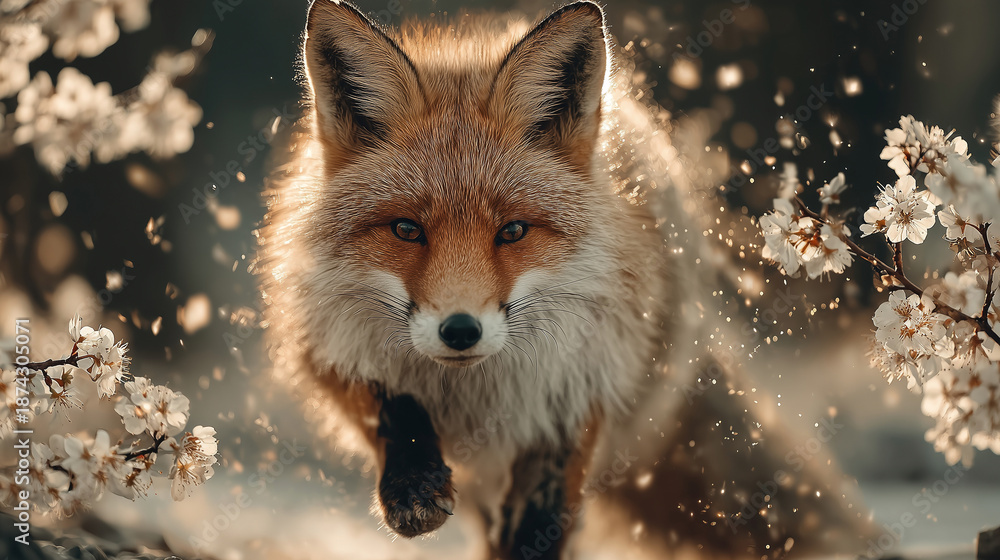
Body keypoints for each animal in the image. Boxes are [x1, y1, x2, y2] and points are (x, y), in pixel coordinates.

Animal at [257, 1, 877, 558]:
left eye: (512, 231)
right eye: (407, 229)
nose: (460, 331)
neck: (474, 397)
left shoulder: (581, 387)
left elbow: (542, 525)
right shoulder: (328, 343)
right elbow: (390, 410)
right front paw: (412, 487)